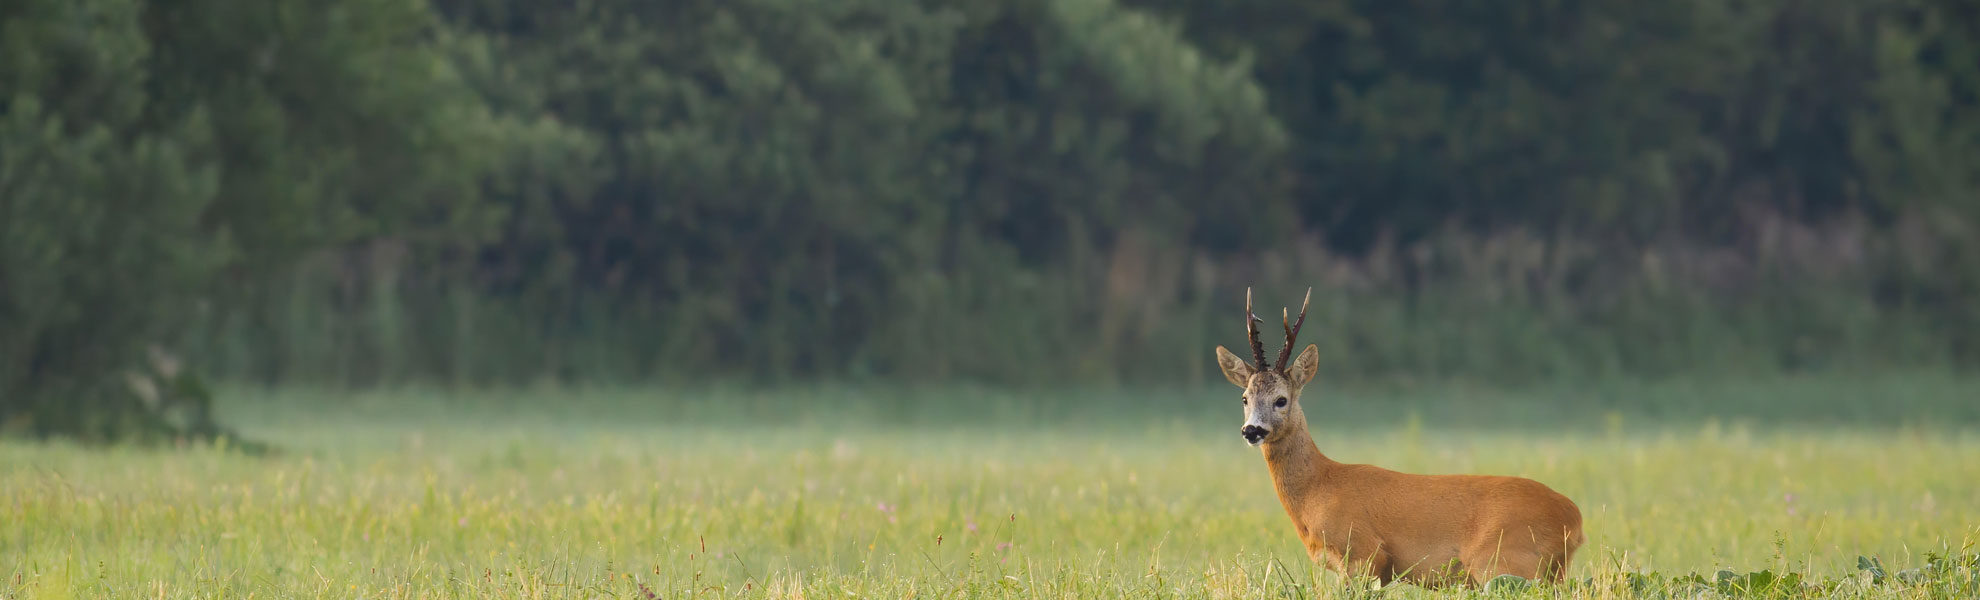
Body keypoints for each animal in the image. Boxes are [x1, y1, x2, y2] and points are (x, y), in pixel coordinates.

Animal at [1211, 289, 1584, 590]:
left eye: (1281, 400)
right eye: (1245, 398)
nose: (1252, 431)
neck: (1318, 488)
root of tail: (1574, 519)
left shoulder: (1364, 554)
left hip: (1505, 563)